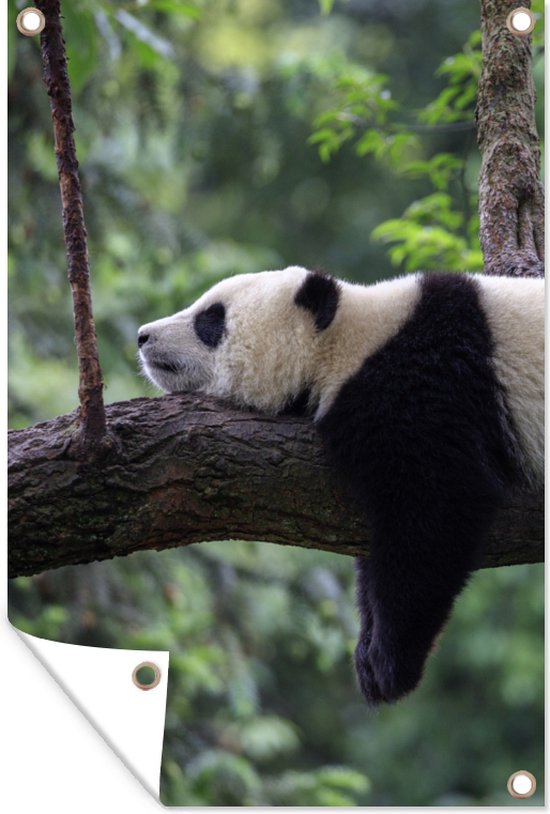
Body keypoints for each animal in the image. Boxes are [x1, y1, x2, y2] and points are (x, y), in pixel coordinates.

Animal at [138, 267, 544, 705]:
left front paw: (391, 662)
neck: (348, 340)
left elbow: (440, 505)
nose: (143, 335)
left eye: (211, 319)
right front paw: (367, 651)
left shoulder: (426, 384)